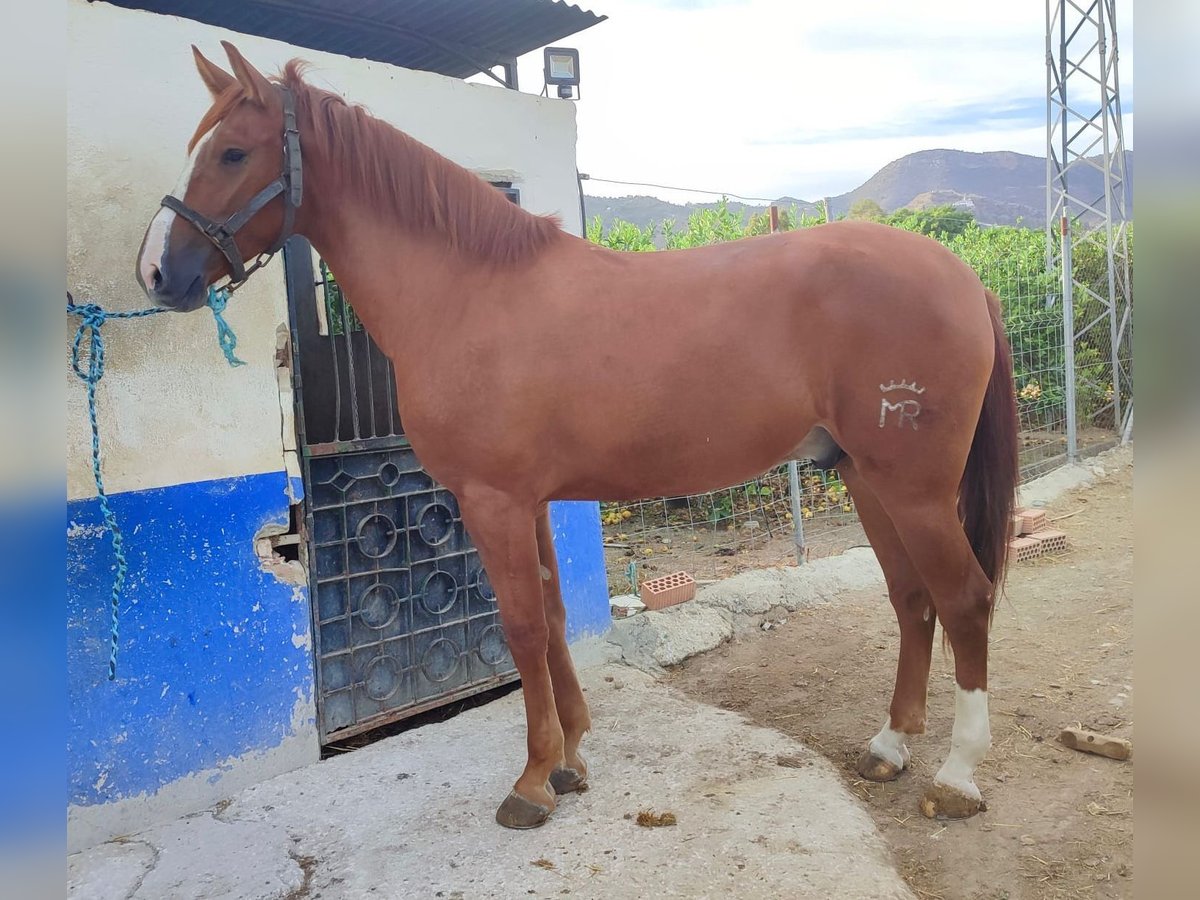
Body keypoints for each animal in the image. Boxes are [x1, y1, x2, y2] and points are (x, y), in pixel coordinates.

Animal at [140, 44, 1022, 830]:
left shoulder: (492, 501)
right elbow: (556, 617)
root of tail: (962, 275)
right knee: (912, 600)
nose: (156, 273)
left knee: (965, 599)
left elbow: (523, 628)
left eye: (232, 151)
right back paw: (889, 746)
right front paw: (570, 760)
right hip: (868, 477)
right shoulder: (528, 501)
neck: (469, 292)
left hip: (913, 487)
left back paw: (957, 776)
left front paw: (532, 783)